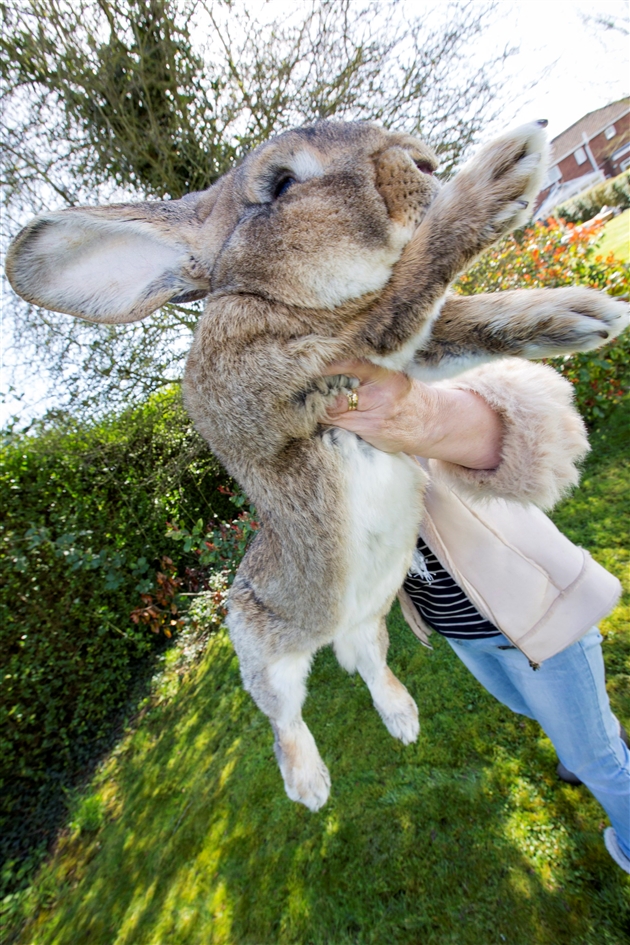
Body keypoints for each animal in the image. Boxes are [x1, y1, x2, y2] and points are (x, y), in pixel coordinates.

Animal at [7, 120, 628, 812]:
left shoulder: (391, 360)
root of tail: (330, 630)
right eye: (281, 185)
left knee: (370, 665)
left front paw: (577, 315)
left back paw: (402, 720)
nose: (423, 163)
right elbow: (396, 297)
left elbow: (447, 320)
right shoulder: (303, 367)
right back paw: (309, 787)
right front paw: (502, 173)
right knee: (285, 719)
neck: (273, 296)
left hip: (370, 620)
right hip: (265, 659)